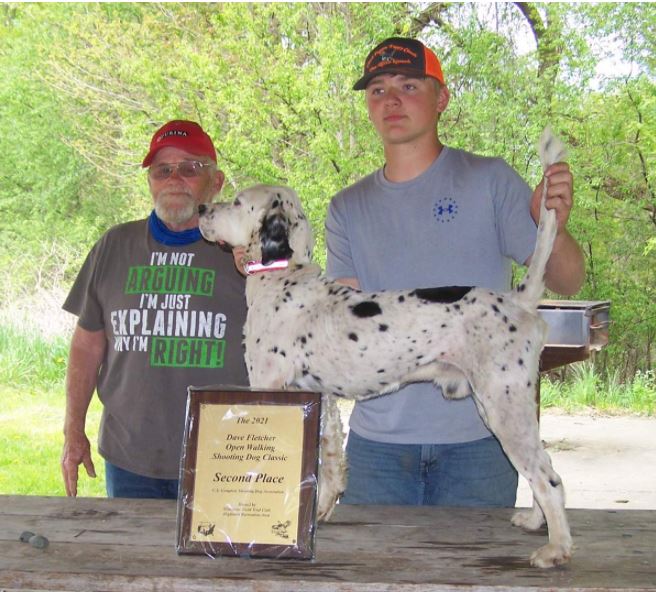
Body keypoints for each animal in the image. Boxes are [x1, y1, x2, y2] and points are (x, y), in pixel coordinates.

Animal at [199, 130, 576, 568]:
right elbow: (332, 462)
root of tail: (518, 300)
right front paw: (320, 513)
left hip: (504, 406)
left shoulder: (267, 385)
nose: (203, 207)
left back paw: (555, 548)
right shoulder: (320, 399)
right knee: (544, 467)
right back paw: (534, 522)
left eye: (238, 202)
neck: (286, 279)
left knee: (548, 478)